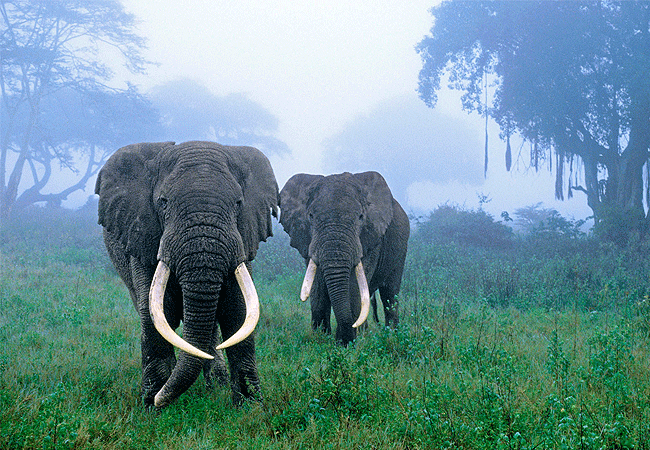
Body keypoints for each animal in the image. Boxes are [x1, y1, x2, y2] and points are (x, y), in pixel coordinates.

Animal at [95, 141, 279, 408]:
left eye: (238, 203)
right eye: (163, 202)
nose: (158, 400)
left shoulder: (244, 239)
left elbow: (239, 311)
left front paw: (251, 407)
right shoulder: (143, 237)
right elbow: (156, 312)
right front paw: (152, 406)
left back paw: (216, 385)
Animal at [279, 171, 409, 346]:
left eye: (361, 216)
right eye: (311, 216)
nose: (345, 339)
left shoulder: (371, 238)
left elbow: (354, 285)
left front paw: (345, 344)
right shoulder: (308, 240)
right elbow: (317, 286)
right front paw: (320, 340)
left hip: (400, 249)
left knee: (390, 293)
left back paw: (392, 336)